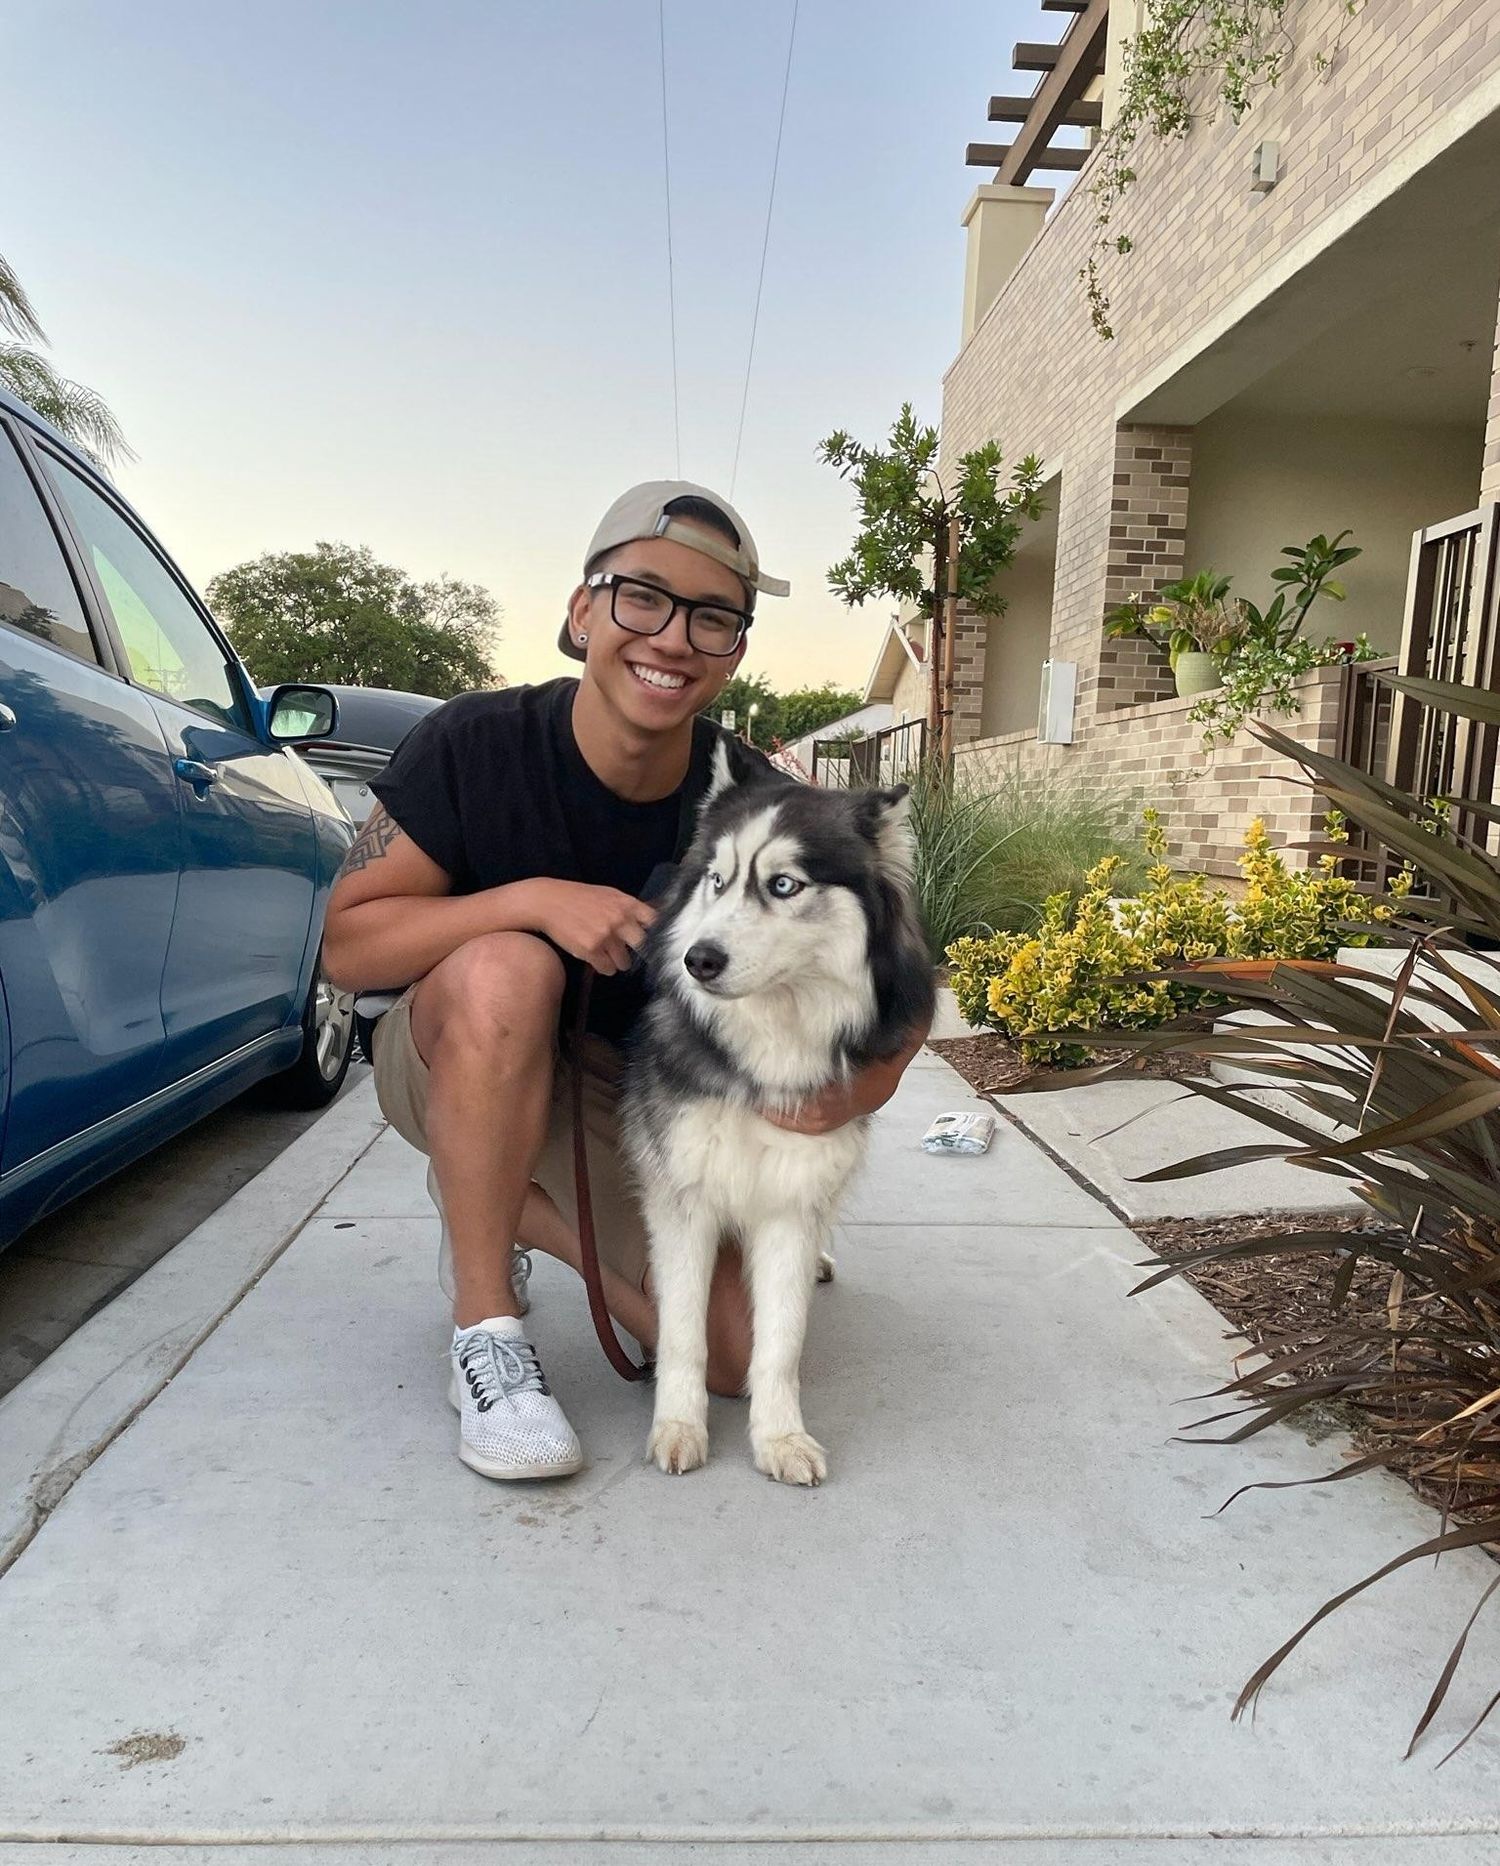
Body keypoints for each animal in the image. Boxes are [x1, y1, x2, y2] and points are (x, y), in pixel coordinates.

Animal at [622, 740, 934, 1486]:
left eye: (784, 885)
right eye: (717, 879)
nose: (698, 960)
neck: (768, 1042)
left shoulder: (793, 1197)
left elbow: (780, 1341)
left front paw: (780, 1437)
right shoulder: (683, 1198)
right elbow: (683, 1331)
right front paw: (678, 1427)